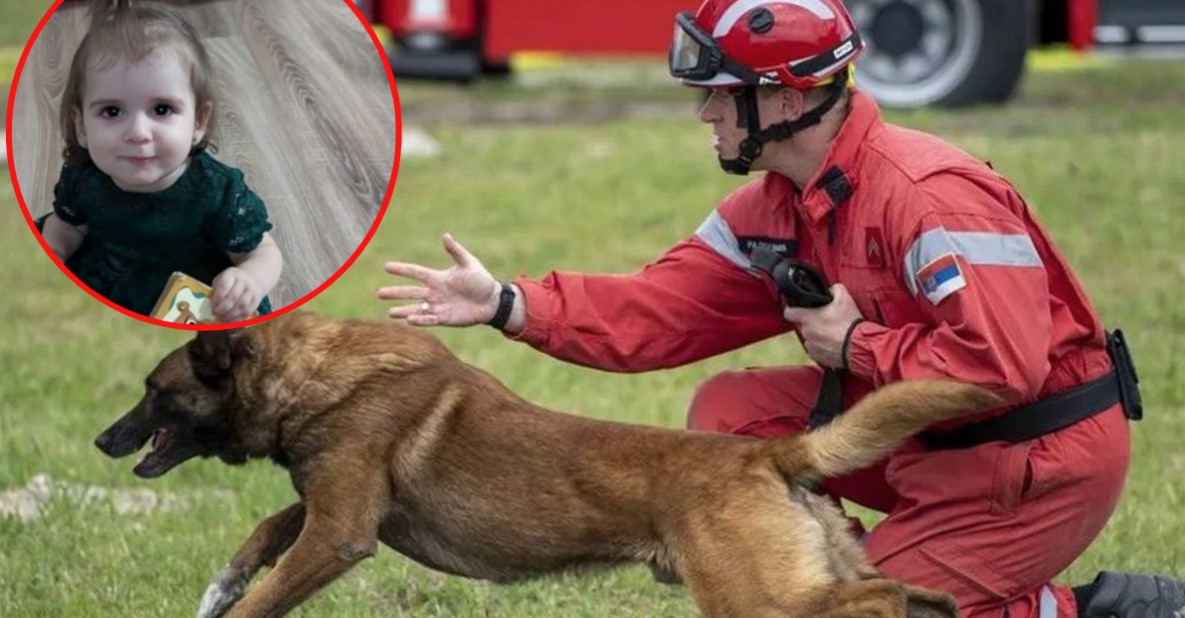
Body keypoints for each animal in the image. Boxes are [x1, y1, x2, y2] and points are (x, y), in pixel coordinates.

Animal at [94, 312, 1000, 615]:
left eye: (154, 391)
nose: (105, 440)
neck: (308, 372)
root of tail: (765, 454)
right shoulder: (336, 506)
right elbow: (266, 528)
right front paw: (222, 584)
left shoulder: (342, 530)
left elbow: (274, 583)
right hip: (804, 574)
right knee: (919, 594)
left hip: (757, 599)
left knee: (883, 597)